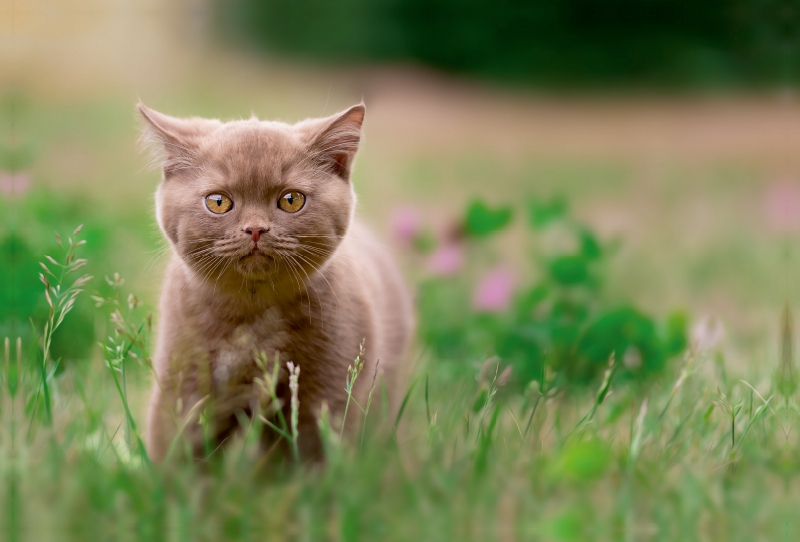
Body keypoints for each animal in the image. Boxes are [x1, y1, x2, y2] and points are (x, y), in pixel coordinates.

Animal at [138, 103, 412, 464]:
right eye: (218, 202)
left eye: (291, 200)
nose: (255, 229)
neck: (254, 319)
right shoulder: (185, 382)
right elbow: (177, 450)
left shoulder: (325, 396)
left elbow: (309, 460)